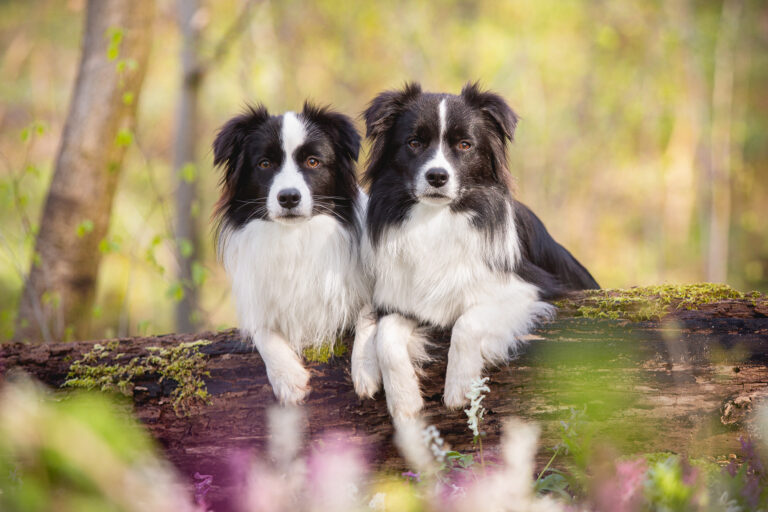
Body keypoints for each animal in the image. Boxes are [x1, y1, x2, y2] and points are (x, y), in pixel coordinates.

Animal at [213, 101, 376, 404]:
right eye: (265, 164)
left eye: (313, 161)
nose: (288, 197)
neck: (296, 236)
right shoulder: (257, 299)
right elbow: (263, 330)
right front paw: (288, 378)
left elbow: (367, 315)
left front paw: (366, 368)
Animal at [354, 83, 600, 420]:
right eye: (414, 143)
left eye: (465, 145)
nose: (437, 177)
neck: (437, 218)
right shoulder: (408, 297)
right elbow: (386, 335)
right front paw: (404, 400)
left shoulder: (529, 288)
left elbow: (467, 322)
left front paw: (460, 387)